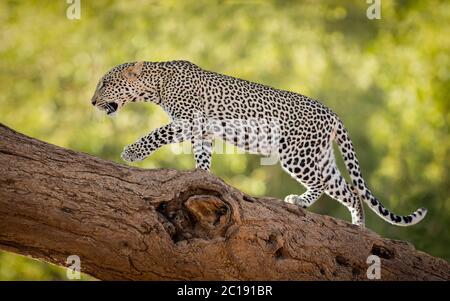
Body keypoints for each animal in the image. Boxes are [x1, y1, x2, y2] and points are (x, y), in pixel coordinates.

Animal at [89, 59, 428, 226]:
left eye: (105, 83)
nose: (92, 101)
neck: (156, 84)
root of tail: (332, 113)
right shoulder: (204, 132)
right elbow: (203, 158)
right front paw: (204, 177)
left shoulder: (189, 121)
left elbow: (158, 133)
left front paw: (132, 152)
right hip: (319, 156)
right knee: (349, 191)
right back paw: (358, 228)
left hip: (295, 154)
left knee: (321, 183)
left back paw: (298, 201)